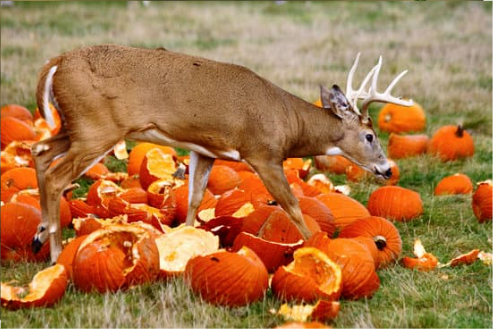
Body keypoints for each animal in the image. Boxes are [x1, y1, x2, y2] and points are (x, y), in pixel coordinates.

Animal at [30, 44, 412, 260]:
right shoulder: (263, 153)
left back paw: (38, 236)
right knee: (56, 174)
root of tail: (56, 62)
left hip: (74, 127)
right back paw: (55, 253)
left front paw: (185, 243)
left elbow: (194, 199)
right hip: (96, 129)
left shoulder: (206, 150)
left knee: (39, 150)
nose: (387, 169)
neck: (287, 121)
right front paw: (316, 245)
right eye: (369, 135)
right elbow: (292, 205)